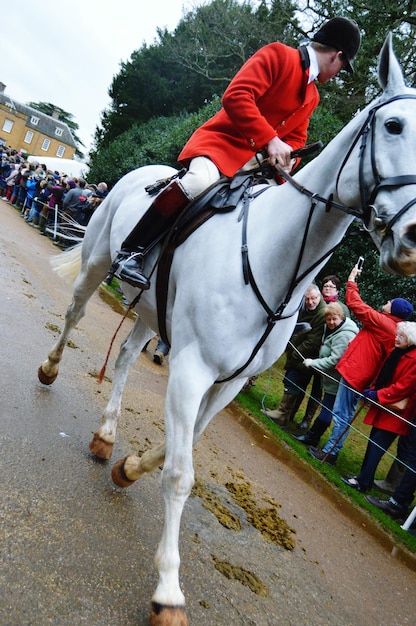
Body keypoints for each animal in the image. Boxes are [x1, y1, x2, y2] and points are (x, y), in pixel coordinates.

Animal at [39, 35, 416, 624]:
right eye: (395, 126)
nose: (413, 239)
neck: (275, 258)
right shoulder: (193, 367)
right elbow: (181, 472)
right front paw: (169, 589)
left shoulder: (230, 380)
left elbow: (186, 444)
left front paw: (130, 465)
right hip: (97, 263)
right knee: (75, 315)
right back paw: (50, 370)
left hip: (152, 313)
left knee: (123, 358)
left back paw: (106, 434)